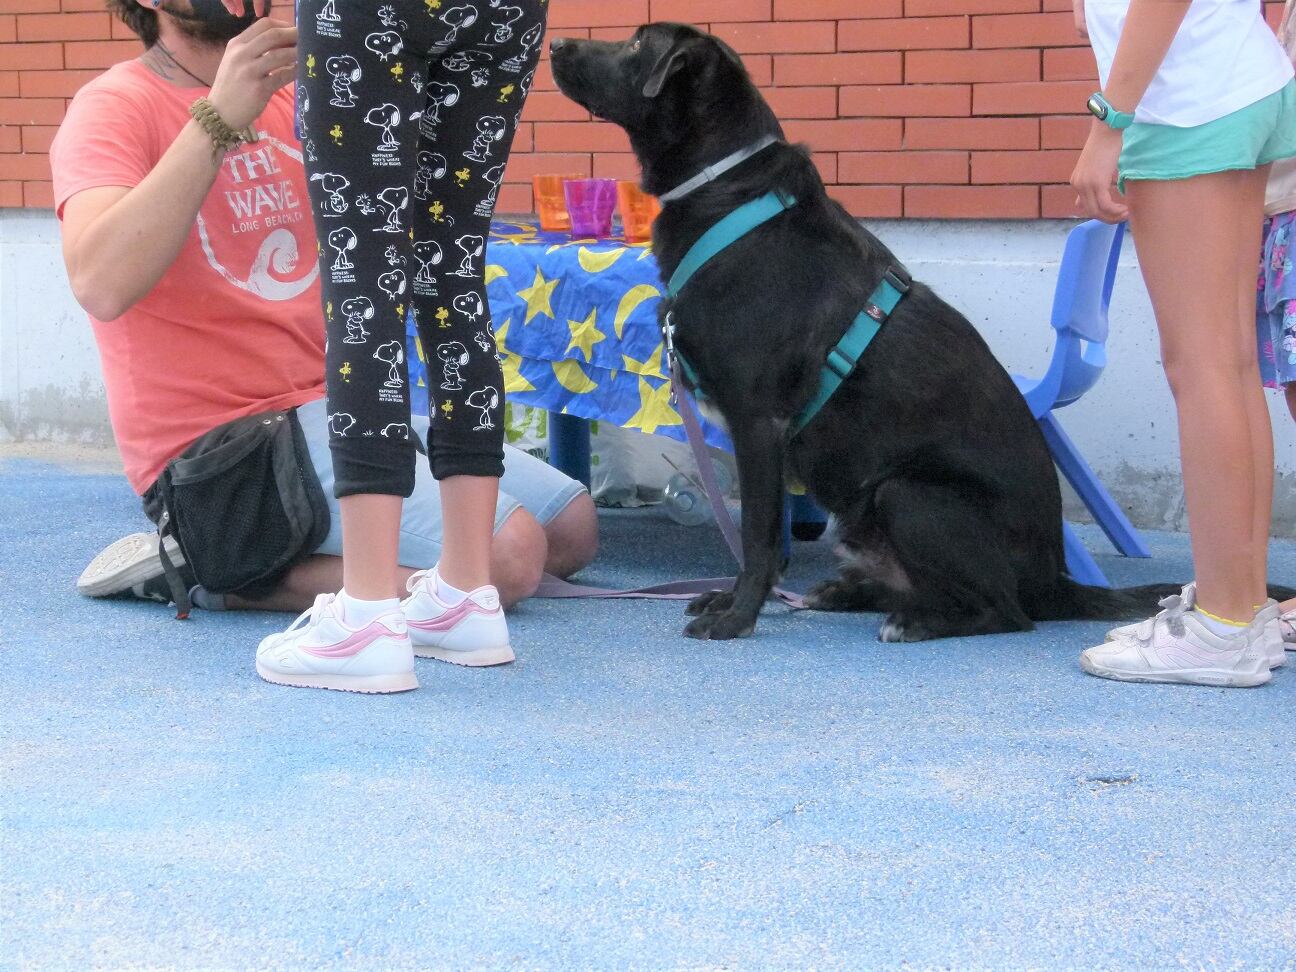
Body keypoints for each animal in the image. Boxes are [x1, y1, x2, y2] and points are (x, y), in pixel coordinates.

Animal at [552, 22, 1228, 642]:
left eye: (638, 45)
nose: (555, 43)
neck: (726, 191)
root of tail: (1055, 580)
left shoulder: (757, 421)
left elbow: (757, 537)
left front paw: (737, 617)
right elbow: (767, 541)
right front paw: (733, 602)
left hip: (907, 494)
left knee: (1005, 613)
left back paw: (915, 622)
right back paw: (851, 593)